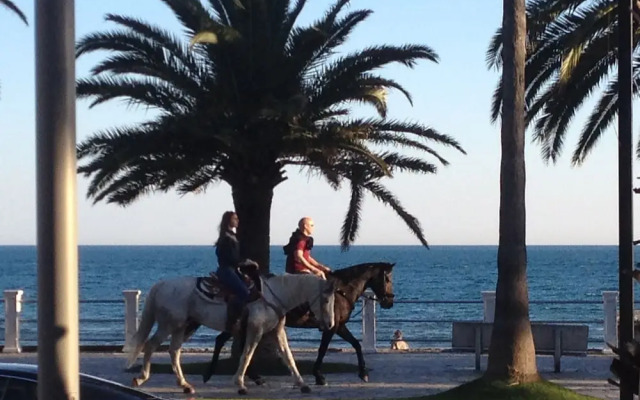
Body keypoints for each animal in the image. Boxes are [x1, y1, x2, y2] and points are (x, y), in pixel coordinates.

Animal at [125, 273, 336, 395]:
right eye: (326, 300)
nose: (330, 324)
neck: (274, 295)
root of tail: (162, 285)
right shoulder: (255, 330)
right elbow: (247, 355)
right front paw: (240, 383)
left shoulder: (276, 332)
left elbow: (288, 357)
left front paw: (302, 384)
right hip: (170, 325)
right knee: (151, 345)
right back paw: (141, 378)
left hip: (182, 327)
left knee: (174, 351)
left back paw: (185, 385)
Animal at [204, 262, 395, 386]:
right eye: (387, 279)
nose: (389, 302)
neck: (341, 291)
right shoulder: (332, 327)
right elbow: (323, 349)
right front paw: (319, 376)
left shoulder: (339, 326)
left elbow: (356, 344)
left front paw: (363, 373)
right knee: (225, 341)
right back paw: (215, 373)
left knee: (230, 342)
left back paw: (250, 376)